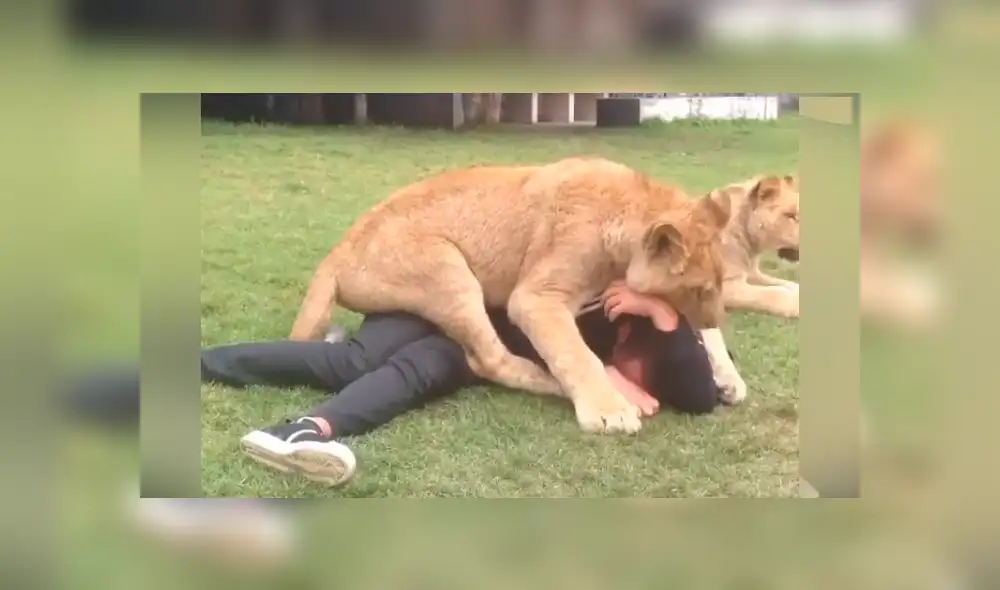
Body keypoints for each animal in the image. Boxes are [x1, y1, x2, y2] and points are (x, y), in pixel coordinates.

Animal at [288, 156, 733, 434]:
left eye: (720, 283)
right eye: (700, 289)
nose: (717, 316)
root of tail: (336, 252)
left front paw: (728, 377)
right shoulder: (537, 298)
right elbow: (576, 354)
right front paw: (609, 412)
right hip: (449, 270)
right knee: (488, 359)